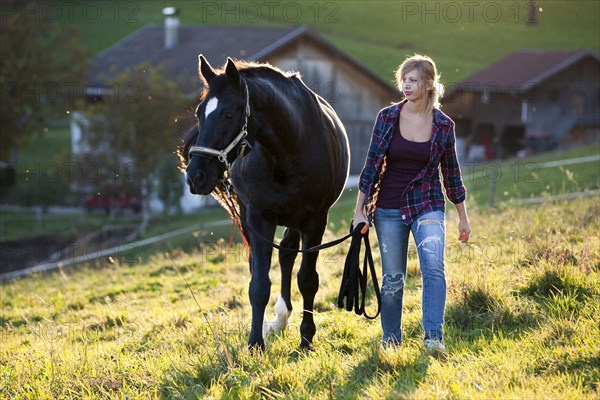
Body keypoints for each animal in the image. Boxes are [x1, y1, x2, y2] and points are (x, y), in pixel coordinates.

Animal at [183, 56, 352, 350]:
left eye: (228, 114)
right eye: (199, 113)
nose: (196, 176)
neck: (291, 146)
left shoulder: (315, 221)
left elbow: (307, 280)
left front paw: (306, 337)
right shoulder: (259, 218)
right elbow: (259, 284)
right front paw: (255, 342)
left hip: (296, 219)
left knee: (286, 252)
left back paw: (283, 318)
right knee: (261, 261)